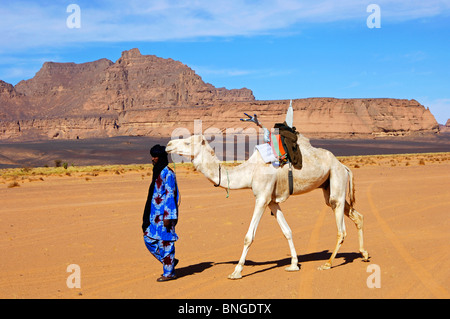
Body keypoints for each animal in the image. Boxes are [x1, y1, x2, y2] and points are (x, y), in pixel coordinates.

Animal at [166, 132, 370, 280]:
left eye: (187, 143)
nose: (168, 144)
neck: (250, 171)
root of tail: (344, 166)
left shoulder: (262, 198)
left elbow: (249, 237)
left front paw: (236, 271)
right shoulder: (272, 201)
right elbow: (287, 231)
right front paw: (294, 265)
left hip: (336, 180)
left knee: (341, 228)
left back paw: (328, 263)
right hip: (329, 186)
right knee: (357, 216)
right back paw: (364, 254)